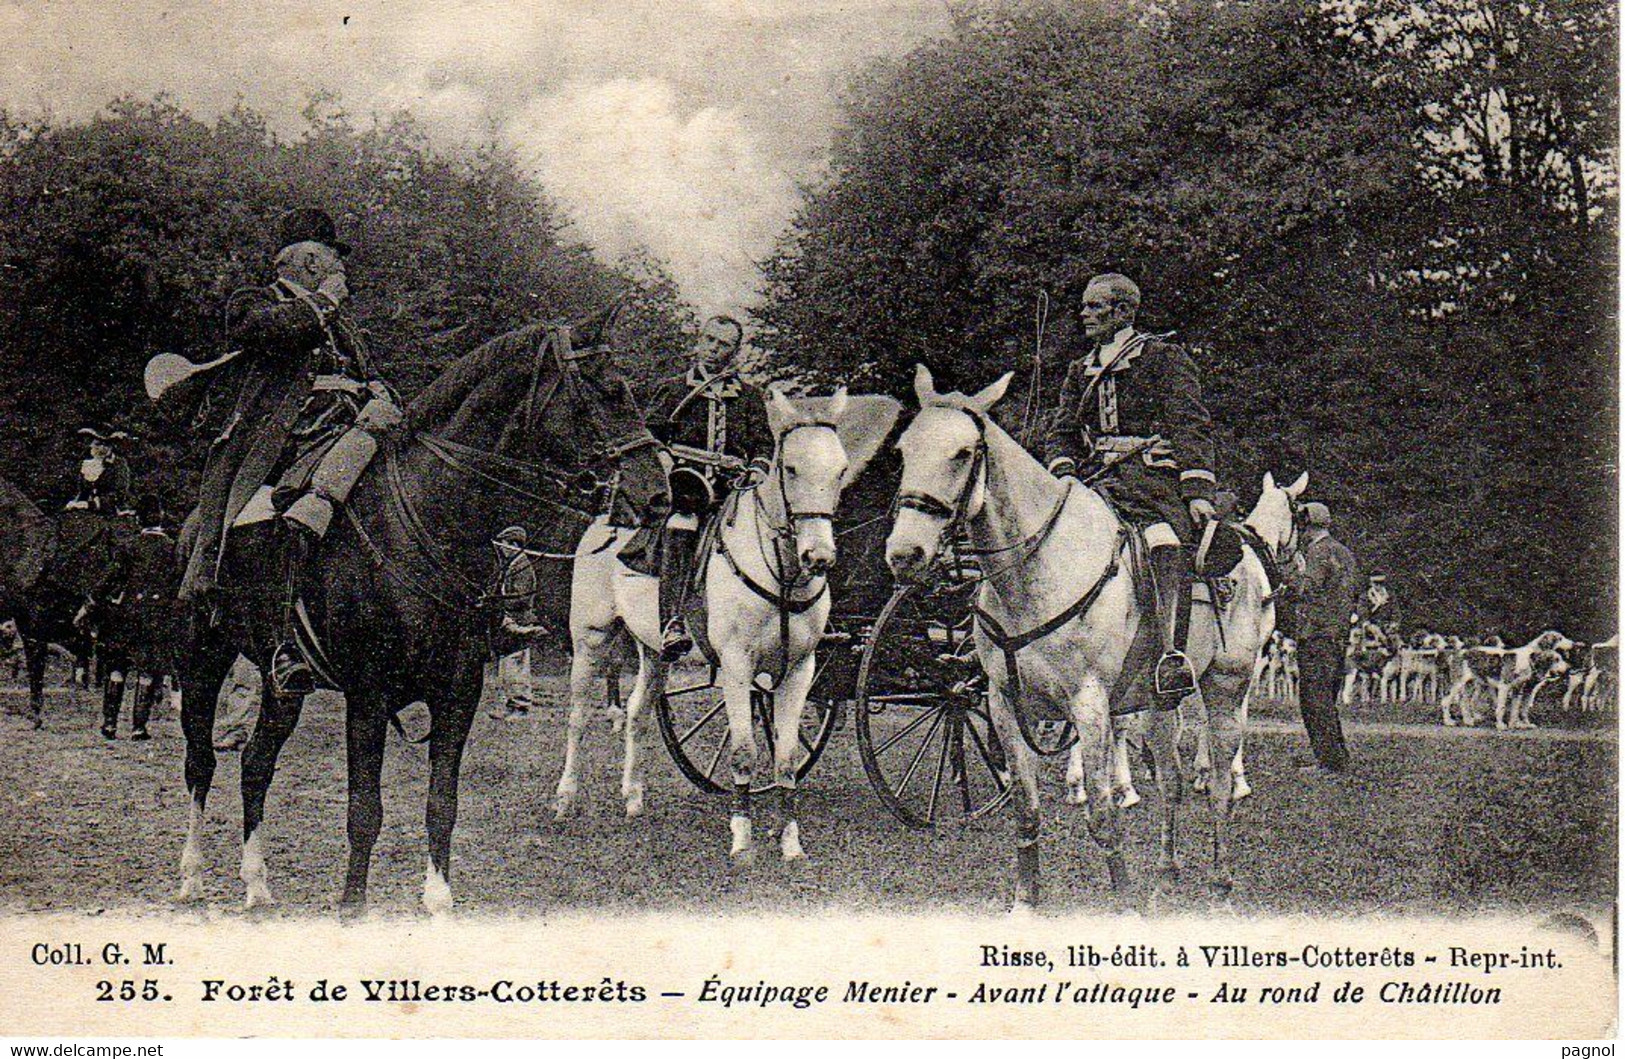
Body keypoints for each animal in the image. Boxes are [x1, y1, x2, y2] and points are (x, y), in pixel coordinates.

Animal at [182, 318, 672, 916]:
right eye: (608, 392)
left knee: (255, 762)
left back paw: (256, 882)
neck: (426, 516)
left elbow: (443, 801)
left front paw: (438, 896)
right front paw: (352, 906)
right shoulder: (368, 696)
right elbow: (364, 811)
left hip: (282, 685)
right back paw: (192, 874)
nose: (658, 497)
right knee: (201, 762)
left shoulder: (458, 692)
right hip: (201, 659)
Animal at [559, 388, 903, 857]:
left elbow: (785, 756)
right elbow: (743, 750)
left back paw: (632, 798)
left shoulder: (801, 670)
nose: (818, 556)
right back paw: (565, 798)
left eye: (840, 469)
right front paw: (742, 837)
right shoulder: (738, 667)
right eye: (790, 468)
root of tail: (605, 522)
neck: (782, 574)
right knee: (578, 716)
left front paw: (790, 841)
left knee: (637, 712)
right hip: (591, 638)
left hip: (655, 651)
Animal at [890, 368, 1280, 903]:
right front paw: (1026, 902)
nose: (904, 554)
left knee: (1219, 780)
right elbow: (1026, 813)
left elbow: (1103, 816)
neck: (1035, 568)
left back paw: (1221, 874)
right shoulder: (1004, 704)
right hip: (1159, 703)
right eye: (904, 449)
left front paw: (1123, 903)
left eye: (963, 453)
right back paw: (1166, 867)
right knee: (1172, 780)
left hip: (1227, 687)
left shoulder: (1089, 705)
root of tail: (1248, 554)